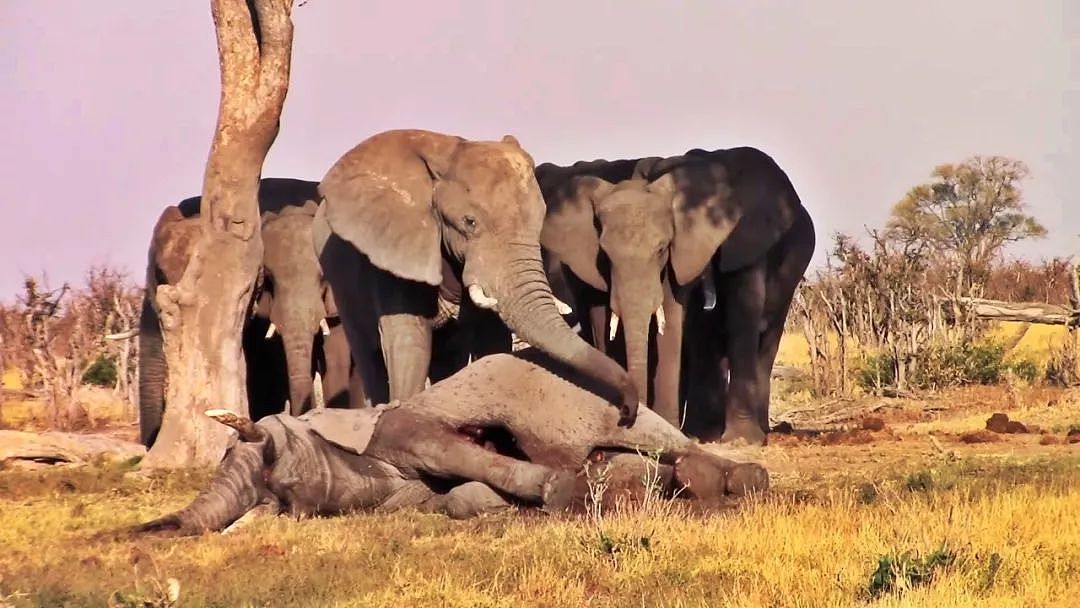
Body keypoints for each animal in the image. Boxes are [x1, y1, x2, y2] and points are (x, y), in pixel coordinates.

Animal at [128, 347, 768, 537]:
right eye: (274, 500)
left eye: (270, 453)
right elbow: (456, 498)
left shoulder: (397, 429)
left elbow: (442, 446)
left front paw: (559, 494)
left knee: (661, 437)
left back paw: (737, 479)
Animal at [308, 128, 635, 423]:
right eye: (470, 222)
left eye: (539, 221)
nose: (626, 411)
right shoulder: (394, 244)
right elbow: (409, 339)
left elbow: (491, 338)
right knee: (369, 354)